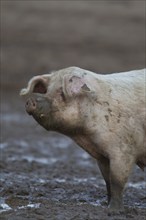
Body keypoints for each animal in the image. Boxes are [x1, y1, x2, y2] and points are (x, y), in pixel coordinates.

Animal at [19, 66, 146, 210]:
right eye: (46, 91)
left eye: (61, 93)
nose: (30, 100)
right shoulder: (102, 156)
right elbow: (107, 181)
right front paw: (105, 206)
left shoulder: (123, 151)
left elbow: (117, 181)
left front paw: (113, 210)